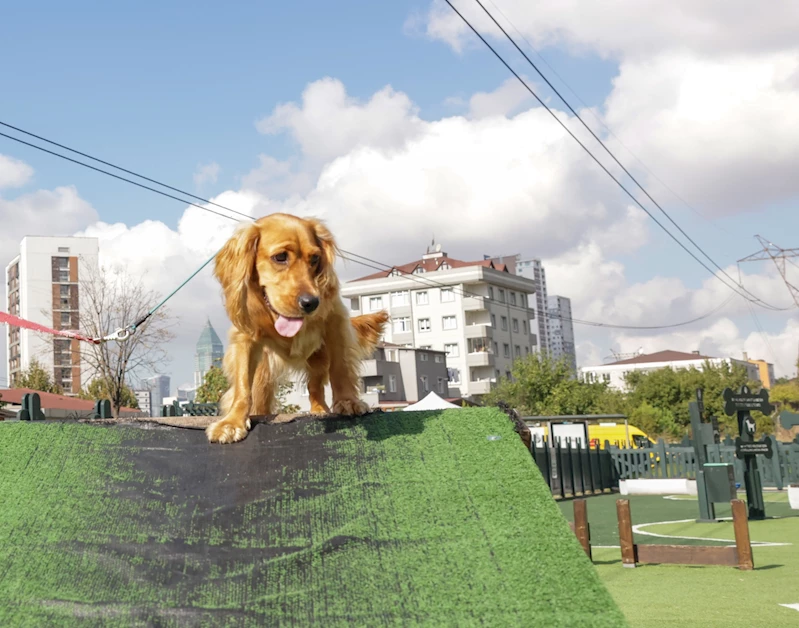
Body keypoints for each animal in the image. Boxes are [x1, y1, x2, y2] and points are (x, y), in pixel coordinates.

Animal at [205, 213, 390, 444]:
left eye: (315, 259)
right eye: (280, 257)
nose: (311, 303)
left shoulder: (336, 321)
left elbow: (341, 369)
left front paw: (348, 401)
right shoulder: (244, 337)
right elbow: (242, 386)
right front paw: (232, 422)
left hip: (318, 358)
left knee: (315, 387)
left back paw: (320, 410)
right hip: (264, 373)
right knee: (260, 397)